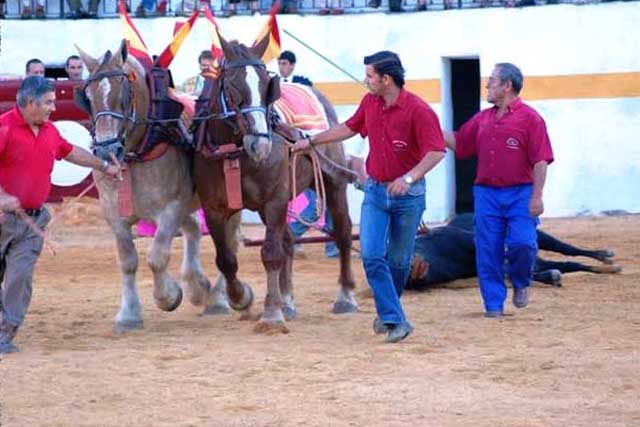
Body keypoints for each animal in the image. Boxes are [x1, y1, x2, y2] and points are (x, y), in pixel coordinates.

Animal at [192, 34, 358, 334]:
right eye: (231, 86)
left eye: (266, 85)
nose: (260, 144)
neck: (235, 152)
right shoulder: (214, 209)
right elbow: (226, 260)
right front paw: (240, 296)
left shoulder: (275, 200)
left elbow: (270, 253)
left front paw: (271, 314)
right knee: (289, 241)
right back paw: (288, 301)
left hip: (331, 183)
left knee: (342, 232)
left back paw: (345, 296)